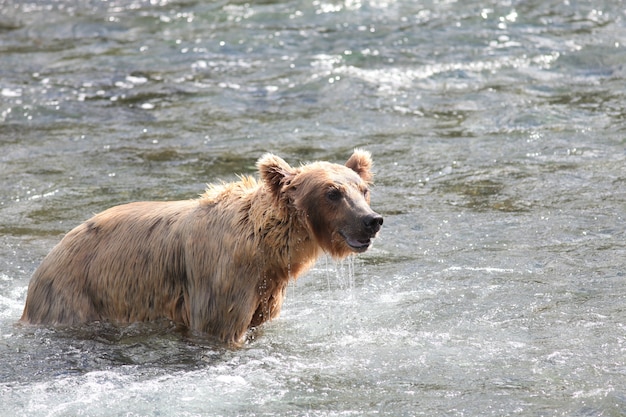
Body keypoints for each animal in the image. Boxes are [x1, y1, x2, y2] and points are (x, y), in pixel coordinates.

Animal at [19, 150, 380, 344]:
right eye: (332, 192)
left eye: (363, 189)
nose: (371, 220)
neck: (266, 251)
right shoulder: (223, 282)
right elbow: (220, 327)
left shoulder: (265, 290)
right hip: (78, 293)